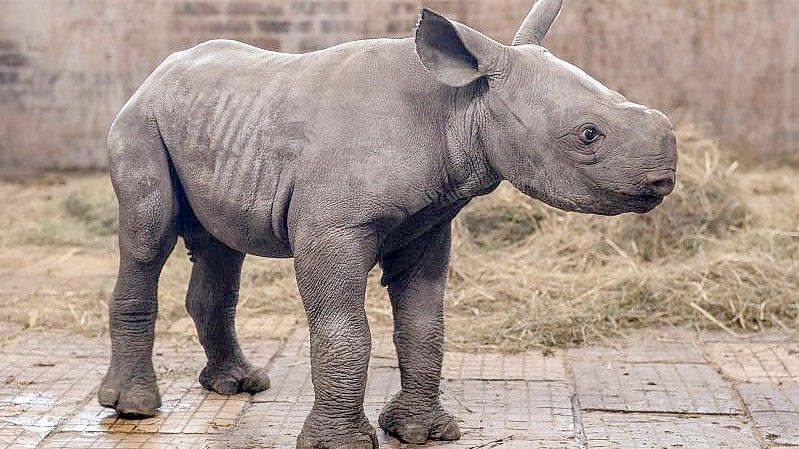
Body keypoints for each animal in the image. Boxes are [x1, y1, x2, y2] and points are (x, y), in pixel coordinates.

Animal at [98, 1, 676, 446]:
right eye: (588, 134)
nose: (665, 177)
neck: (464, 104)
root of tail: (155, 74)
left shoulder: (429, 222)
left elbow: (424, 325)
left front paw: (420, 432)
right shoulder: (332, 227)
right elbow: (344, 330)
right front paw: (339, 444)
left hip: (213, 122)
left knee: (221, 246)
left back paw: (238, 386)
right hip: (139, 121)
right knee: (147, 238)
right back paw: (134, 408)